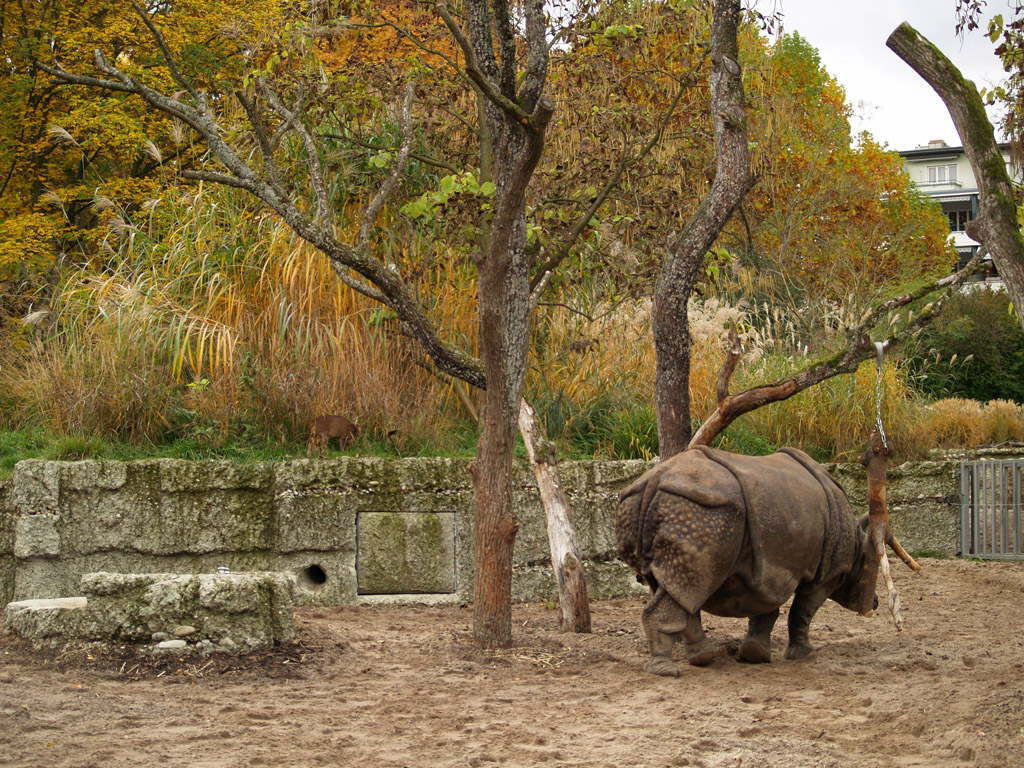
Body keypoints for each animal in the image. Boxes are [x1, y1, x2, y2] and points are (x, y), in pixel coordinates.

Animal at [616, 445, 878, 676]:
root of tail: (654, 479)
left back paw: (702, 658)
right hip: (700, 511)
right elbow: (803, 610)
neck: (857, 541)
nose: (874, 603)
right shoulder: (829, 572)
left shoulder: (770, 568)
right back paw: (667, 671)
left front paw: (755, 654)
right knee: (689, 585)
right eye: (866, 571)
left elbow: (765, 607)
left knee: (679, 587)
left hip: (663, 507)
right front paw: (803, 655)